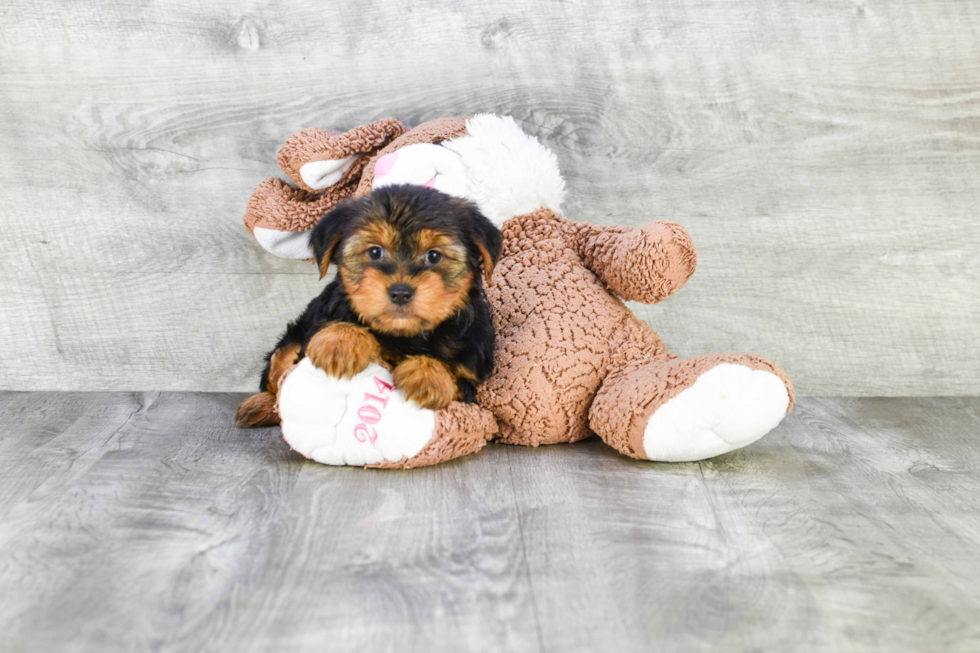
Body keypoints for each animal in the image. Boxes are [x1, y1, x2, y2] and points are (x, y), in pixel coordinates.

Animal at [234, 185, 502, 428]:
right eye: (375, 252)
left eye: (434, 256)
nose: (401, 292)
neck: (407, 335)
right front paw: (341, 342)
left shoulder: (470, 376)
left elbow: (454, 379)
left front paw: (428, 374)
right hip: (291, 340)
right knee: (278, 375)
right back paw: (260, 406)